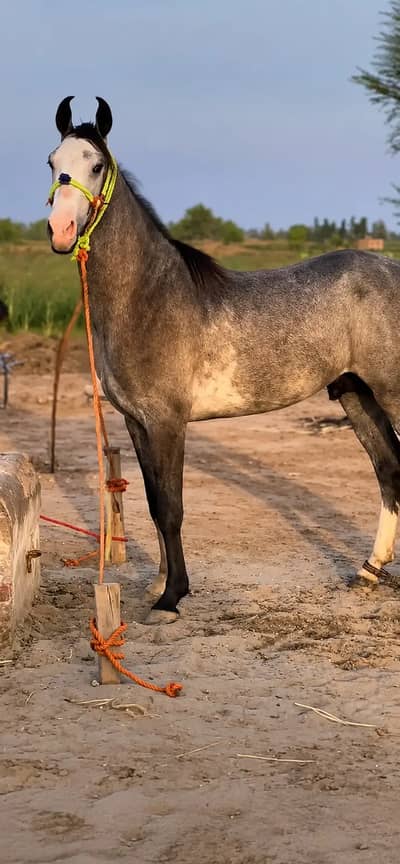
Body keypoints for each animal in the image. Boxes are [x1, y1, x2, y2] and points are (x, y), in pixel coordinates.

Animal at [47, 96, 400, 624]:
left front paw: (171, 598)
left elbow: (171, 507)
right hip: (357, 394)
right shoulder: (136, 422)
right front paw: (158, 585)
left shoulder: (168, 422)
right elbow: (153, 502)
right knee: (389, 469)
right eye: (52, 162)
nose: (61, 230)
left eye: (97, 165)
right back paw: (369, 572)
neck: (147, 296)